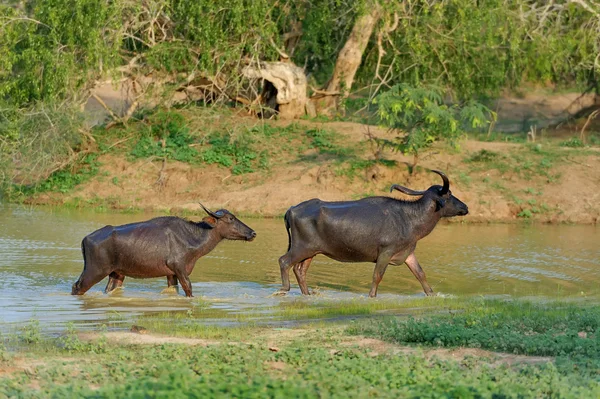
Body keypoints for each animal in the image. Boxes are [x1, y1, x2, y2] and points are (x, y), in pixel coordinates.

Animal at [72, 206, 255, 296]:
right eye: (230, 218)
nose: (252, 233)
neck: (192, 238)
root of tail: (85, 239)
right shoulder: (179, 267)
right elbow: (188, 288)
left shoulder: (171, 273)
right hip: (95, 270)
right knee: (77, 287)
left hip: (117, 273)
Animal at [276, 170, 468, 298]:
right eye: (449, 194)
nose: (465, 207)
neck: (409, 218)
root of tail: (291, 209)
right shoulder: (385, 252)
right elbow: (377, 276)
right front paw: (372, 296)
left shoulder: (408, 253)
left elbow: (420, 274)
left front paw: (431, 294)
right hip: (301, 248)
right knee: (284, 261)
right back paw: (284, 289)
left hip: (311, 252)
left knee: (300, 270)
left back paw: (307, 294)